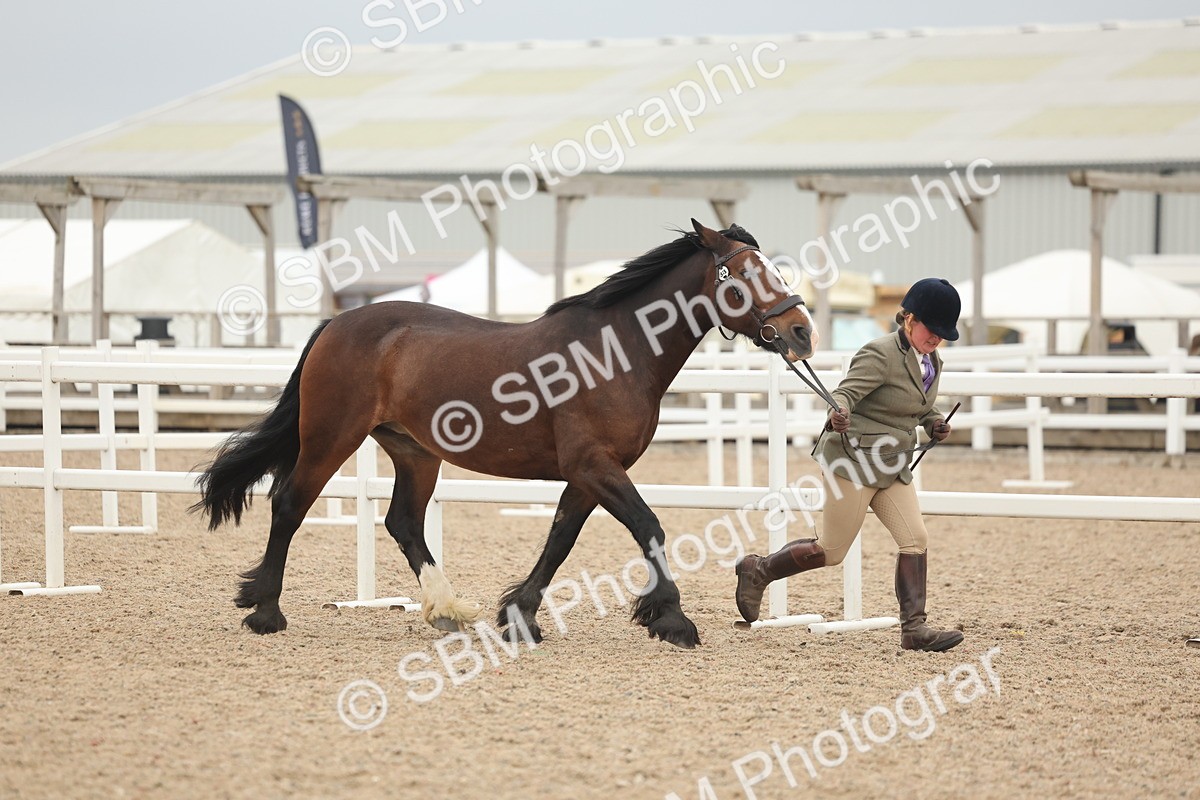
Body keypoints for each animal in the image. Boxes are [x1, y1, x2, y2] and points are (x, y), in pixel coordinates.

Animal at [193, 219, 817, 649]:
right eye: (744, 274)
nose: (801, 331)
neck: (618, 352)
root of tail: (337, 323)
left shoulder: (587, 475)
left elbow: (560, 541)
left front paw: (520, 616)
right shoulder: (594, 466)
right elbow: (649, 528)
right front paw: (672, 620)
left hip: (415, 452)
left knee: (402, 522)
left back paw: (447, 610)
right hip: (330, 438)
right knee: (289, 504)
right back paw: (266, 613)